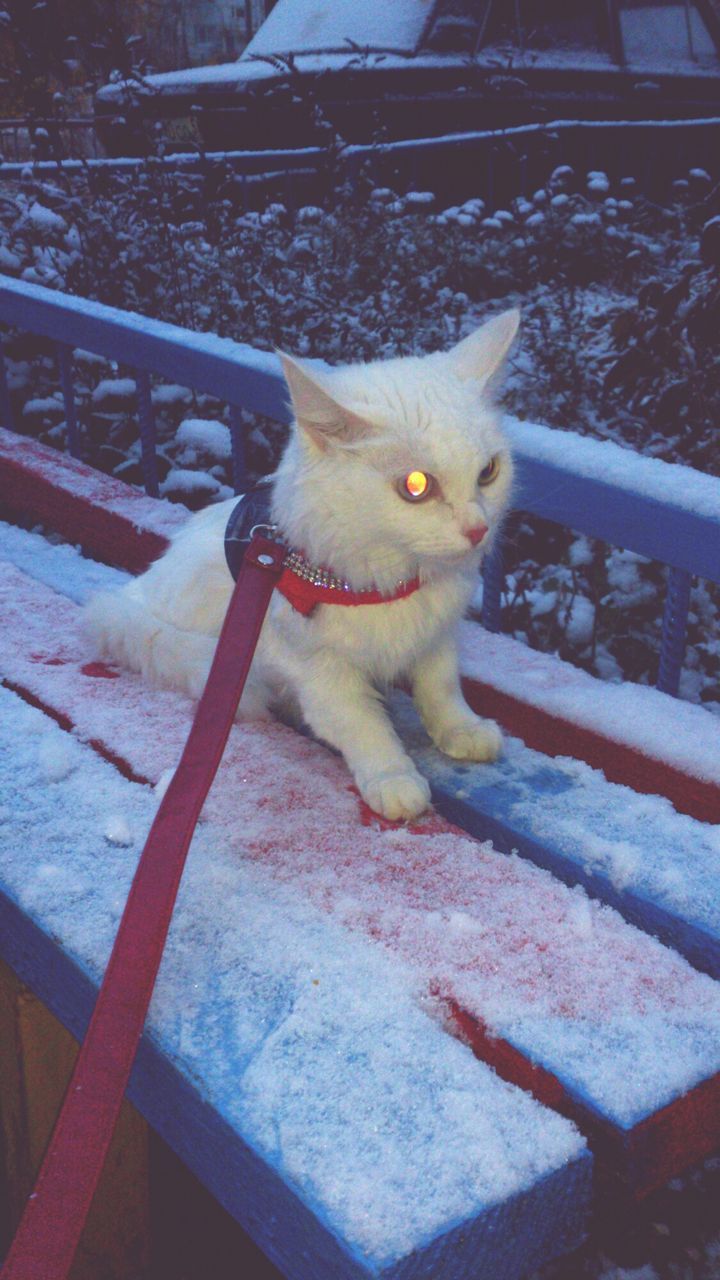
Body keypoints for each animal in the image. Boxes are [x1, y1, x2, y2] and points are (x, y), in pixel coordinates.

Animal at [85, 309, 515, 819]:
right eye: (415, 486)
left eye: (488, 473)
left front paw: (461, 730)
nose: (478, 529)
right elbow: (363, 724)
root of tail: (128, 597)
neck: (388, 579)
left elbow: (440, 687)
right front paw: (394, 779)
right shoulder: (319, 672)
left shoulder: (437, 636)